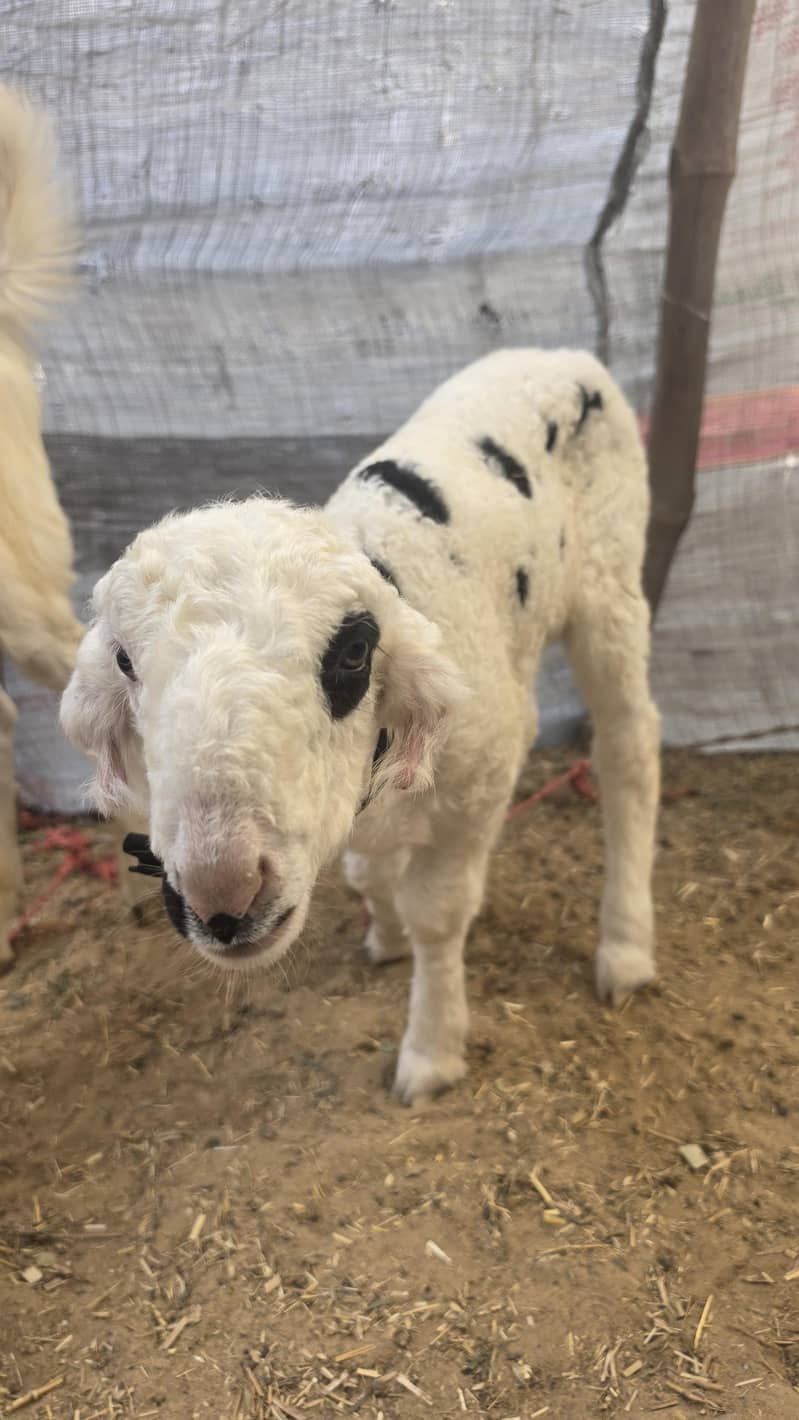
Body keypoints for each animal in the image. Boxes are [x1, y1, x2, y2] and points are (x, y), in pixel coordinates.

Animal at [61, 348, 660, 1102]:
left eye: (352, 653)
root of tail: (556, 355)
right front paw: (387, 934)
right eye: (123, 660)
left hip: (609, 580)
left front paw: (431, 1051)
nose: (222, 893)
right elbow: (370, 870)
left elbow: (437, 913)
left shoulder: (482, 775)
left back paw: (626, 946)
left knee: (629, 745)